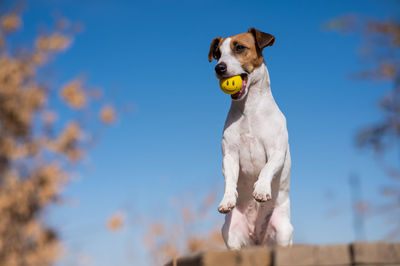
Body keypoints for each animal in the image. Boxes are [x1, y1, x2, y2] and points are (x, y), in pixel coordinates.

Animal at [208, 28, 292, 248]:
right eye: (218, 54)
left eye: (239, 47)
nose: (219, 67)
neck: (250, 110)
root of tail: (258, 239)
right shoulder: (229, 156)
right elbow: (230, 179)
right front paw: (227, 199)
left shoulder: (277, 152)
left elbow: (267, 169)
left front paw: (261, 189)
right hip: (231, 235)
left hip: (283, 233)